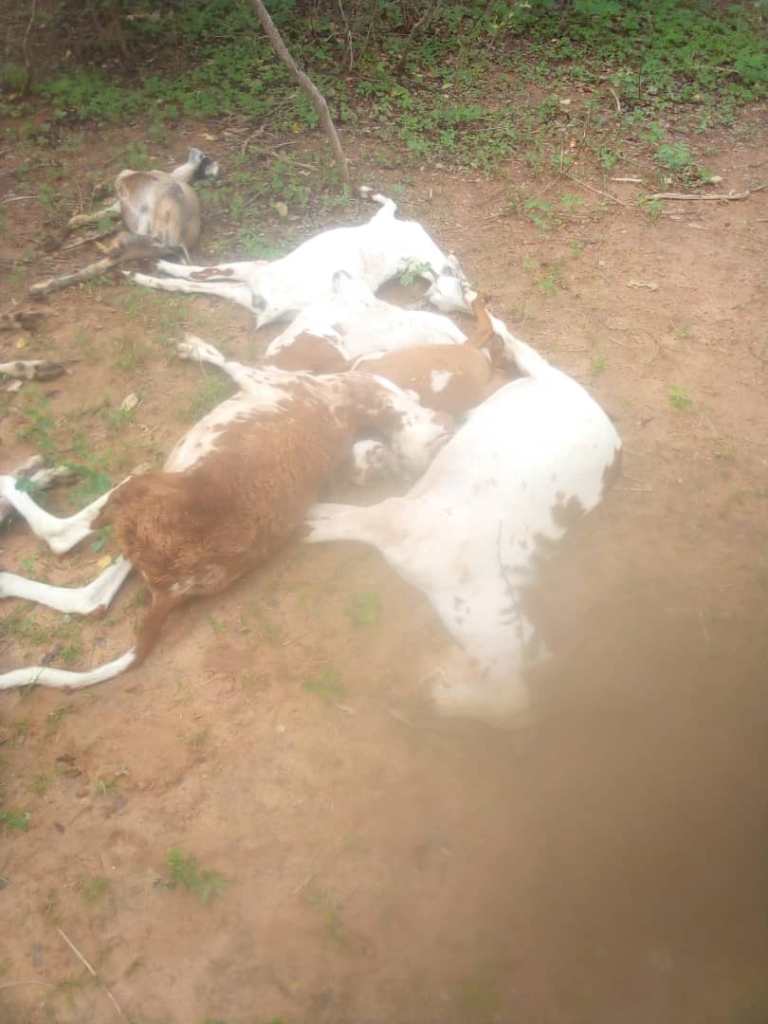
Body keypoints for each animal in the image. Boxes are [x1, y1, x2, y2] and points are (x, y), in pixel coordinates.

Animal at [0, 337, 450, 690]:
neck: (347, 411)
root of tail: (173, 590)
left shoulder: (263, 379)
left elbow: (231, 361)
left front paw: (197, 347)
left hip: (137, 485)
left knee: (60, 537)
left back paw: (19, 481)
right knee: (89, 598)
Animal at [29, 148, 220, 299]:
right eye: (205, 157)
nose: (197, 152)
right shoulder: (122, 207)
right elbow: (78, 219)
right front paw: (55, 241)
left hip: (159, 223)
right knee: (100, 263)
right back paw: (40, 286)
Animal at [305, 313, 622, 724]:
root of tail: (609, 431)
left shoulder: (402, 522)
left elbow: (363, 517)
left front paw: (313, 521)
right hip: (542, 384)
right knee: (529, 357)